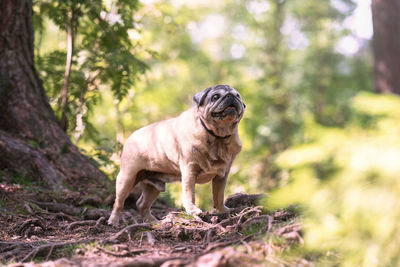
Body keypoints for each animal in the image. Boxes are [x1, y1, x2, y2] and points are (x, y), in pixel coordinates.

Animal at [108, 84, 244, 226]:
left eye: (238, 96)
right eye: (215, 97)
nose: (230, 96)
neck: (218, 137)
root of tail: (130, 137)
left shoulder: (221, 175)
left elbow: (218, 195)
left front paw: (222, 210)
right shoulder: (189, 171)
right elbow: (190, 194)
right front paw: (193, 210)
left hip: (154, 185)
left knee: (142, 204)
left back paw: (152, 221)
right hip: (127, 177)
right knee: (119, 202)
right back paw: (113, 221)